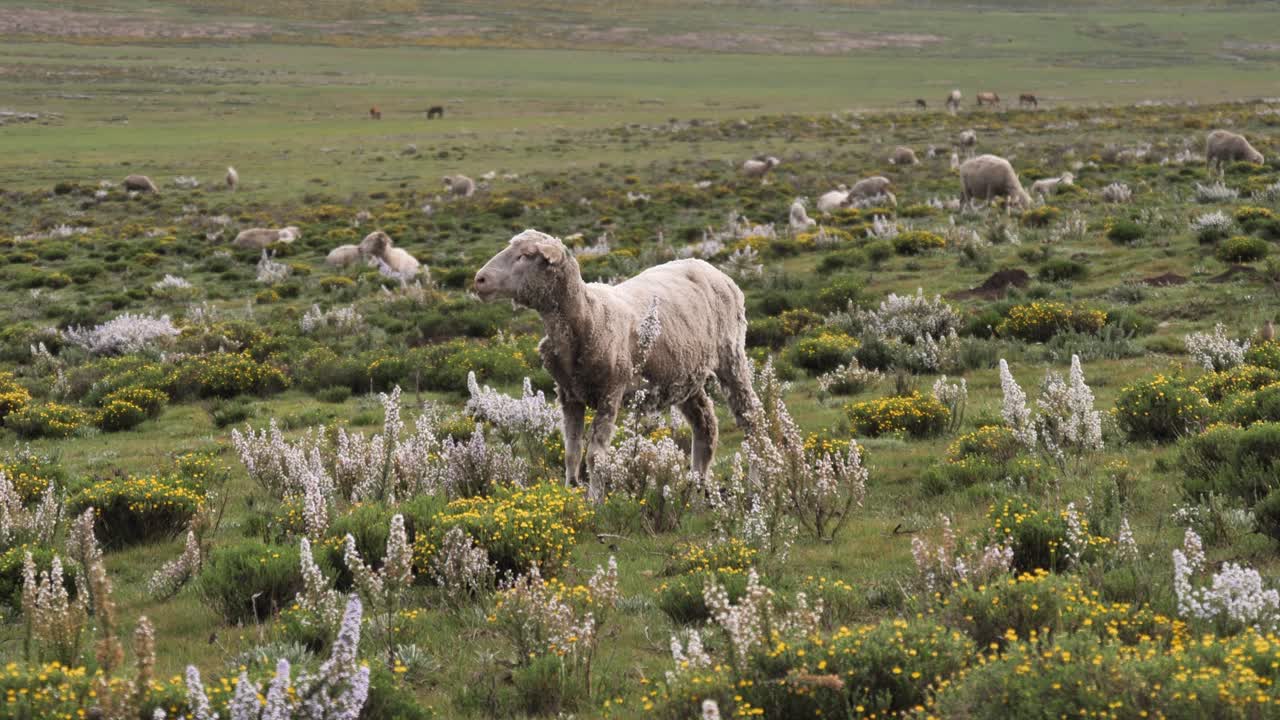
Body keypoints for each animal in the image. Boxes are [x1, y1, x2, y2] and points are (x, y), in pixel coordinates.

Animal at [473, 229, 761, 486]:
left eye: (525, 255)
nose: (479, 280)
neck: (590, 314)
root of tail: (708, 266)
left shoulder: (610, 392)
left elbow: (594, 457)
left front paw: (595, 503)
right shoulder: (569, 394)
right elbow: (571, 454)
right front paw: (570, 493)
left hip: (731, 356)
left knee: (751, 417)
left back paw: (756, 482)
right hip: (683, 375)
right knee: (705, 424)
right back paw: (697, 489)